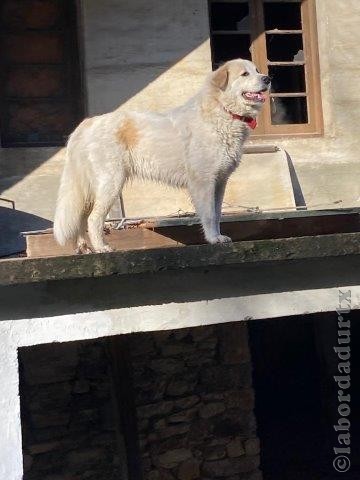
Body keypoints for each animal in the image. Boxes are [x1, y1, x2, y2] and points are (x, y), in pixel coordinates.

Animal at [54, 58, 270, 253]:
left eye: (257, 70)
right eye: (245, 74)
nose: (267, 78)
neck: (223, 111)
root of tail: (87, 123)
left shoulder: (220, 182)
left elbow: (217, 214)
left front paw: (218, 236)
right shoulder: (203, 181)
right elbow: (209, 215)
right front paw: (212, 239)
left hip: (90, 189)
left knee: (81, 217)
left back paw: (84, 248)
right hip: (111, 183)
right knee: (93, 218)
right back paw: (101, 247)